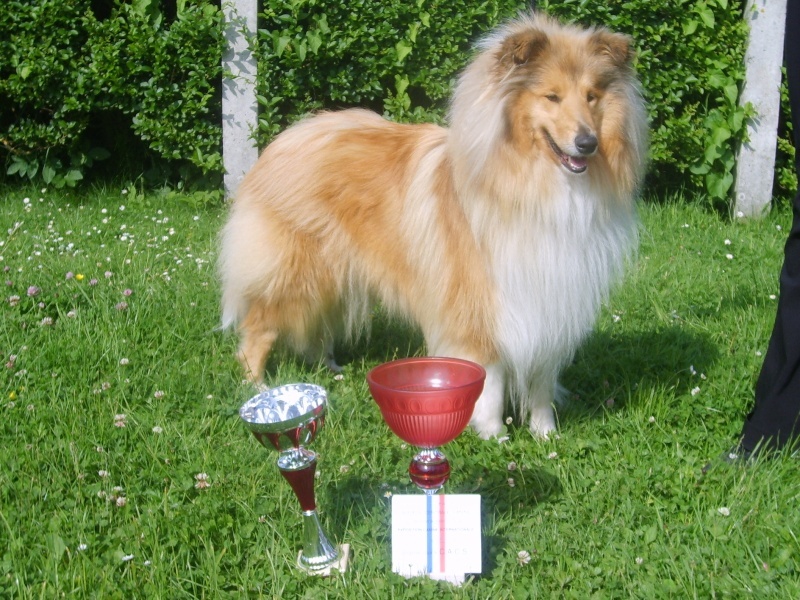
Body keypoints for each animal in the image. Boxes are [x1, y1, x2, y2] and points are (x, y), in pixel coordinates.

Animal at [219, 12, 647, 439]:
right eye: (552, 97)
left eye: (591, 96)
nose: (587, 143)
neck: (536, 185)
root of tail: (289, 136)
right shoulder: (480, 303)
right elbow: (490, 377)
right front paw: (494, 435)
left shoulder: (550, 304)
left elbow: (541, 381)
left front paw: (547, 436)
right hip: (296, 273)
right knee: (258, 328)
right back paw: (259, 389)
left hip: (335, 272)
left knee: (317, 327)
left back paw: (332, 371)